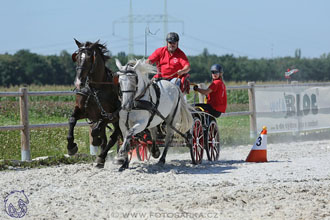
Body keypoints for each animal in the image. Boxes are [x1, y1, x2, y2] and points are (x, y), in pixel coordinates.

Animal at [66, 38, 120, 168]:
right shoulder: (82, 111)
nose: (78, 82)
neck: (95, 88)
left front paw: (96, 141)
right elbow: (72, 120)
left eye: (90, 57)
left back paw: (102, 157)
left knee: (114, 137)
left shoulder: (109, 115)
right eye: (77, 57)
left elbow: (96, 130)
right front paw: (71, 147)